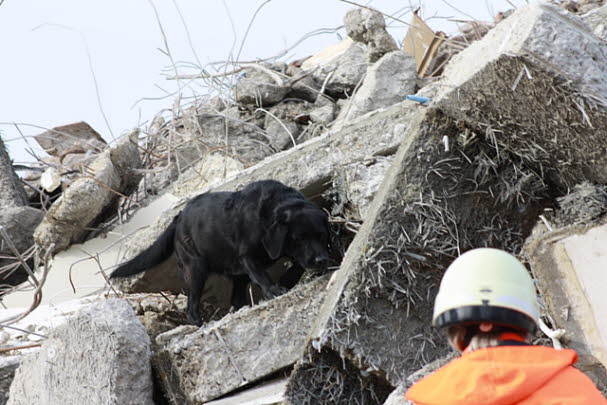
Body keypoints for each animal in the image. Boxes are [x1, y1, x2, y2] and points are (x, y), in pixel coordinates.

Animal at [108, 178, 328, 324]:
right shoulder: (247, 256)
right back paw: (199, 323)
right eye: (298, 238)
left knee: (235, 299)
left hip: (233, 275)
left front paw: (287, 280)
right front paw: (274, 289)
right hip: (196, 269)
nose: (321, 260)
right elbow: (262, 275)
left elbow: (298, 265)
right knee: (192, 306)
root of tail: (178, 217)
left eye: (321, 235)